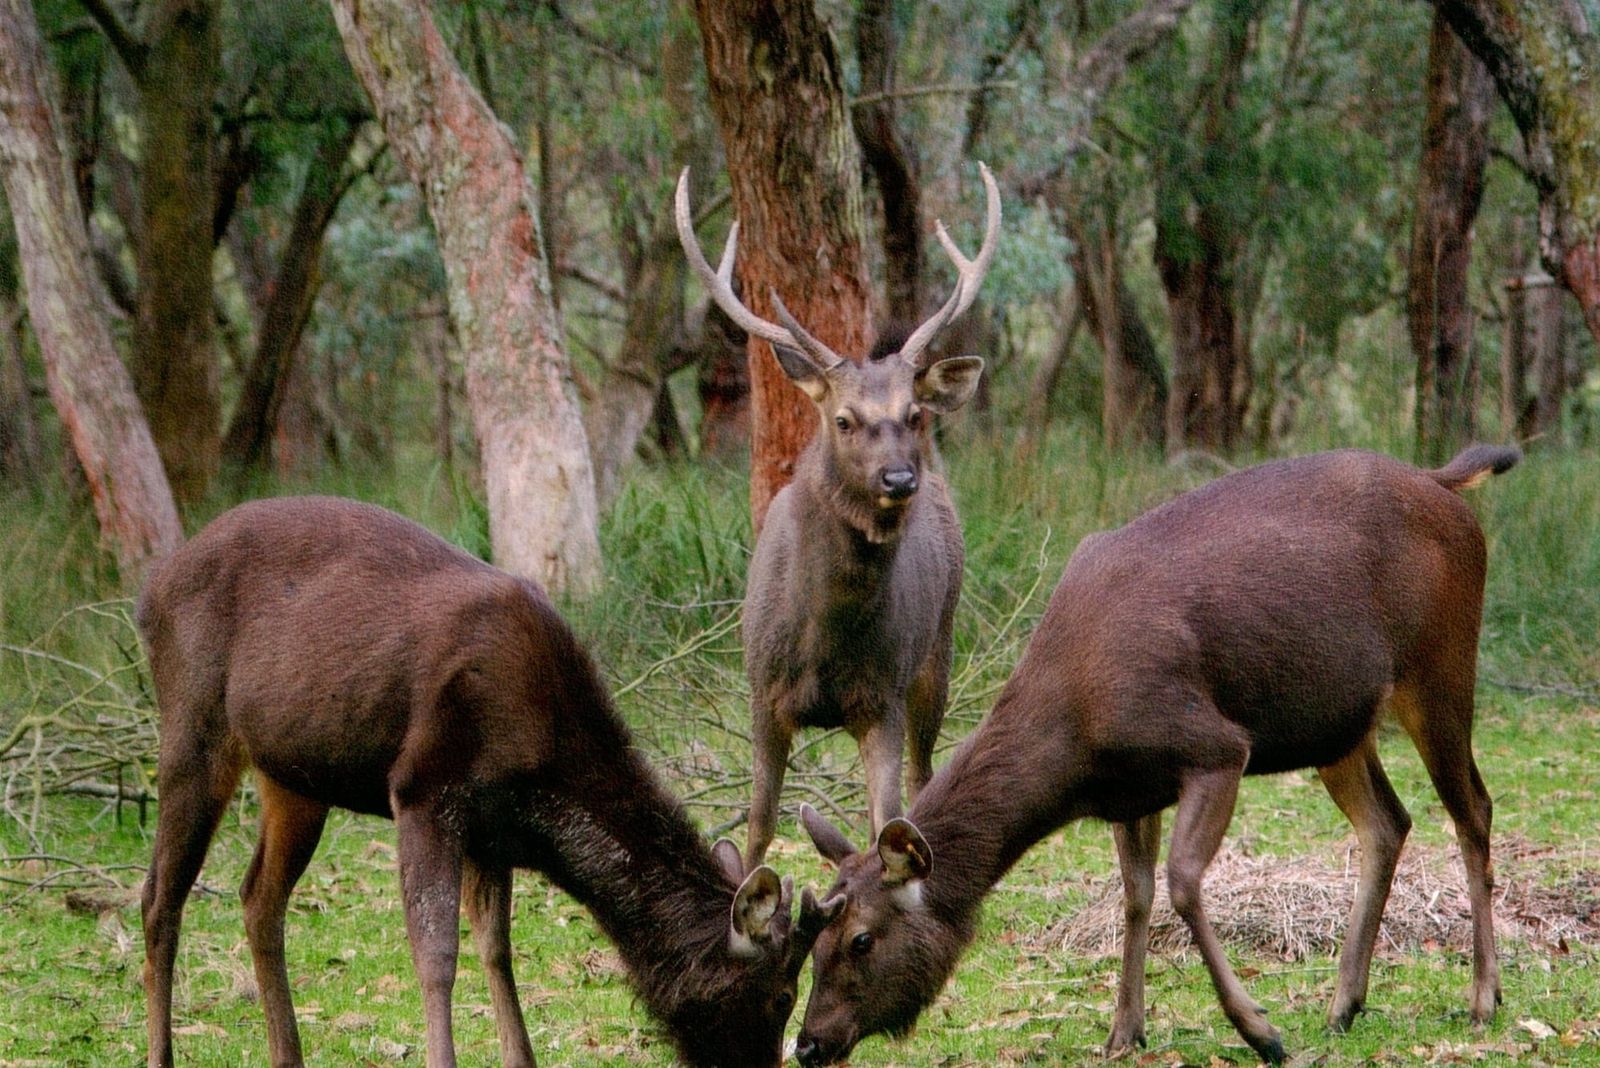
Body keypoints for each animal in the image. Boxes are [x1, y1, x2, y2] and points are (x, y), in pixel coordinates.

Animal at [135, 496, 843, 1068]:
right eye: (781, 993)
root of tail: (149, 592)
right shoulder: (423, 787)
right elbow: (437, 952)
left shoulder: (492, 828)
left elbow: (497, 949)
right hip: (192, 725)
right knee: (159, 898)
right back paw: (162, 1053)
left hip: (295, 777)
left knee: (258, 896)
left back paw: (287, 1053)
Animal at [674, 163, 1001, 873]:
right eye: (844, 419)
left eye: (913, 413)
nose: (900, 478)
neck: (825, 638)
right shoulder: (762, 690)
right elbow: (759, 827)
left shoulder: (884, 695)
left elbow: (887, 821)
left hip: (938, 650)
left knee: (923, 776)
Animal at [792, 444, 1520, 1066]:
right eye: (814, 938)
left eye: (860, 938)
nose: (808, 1043)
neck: (1075, 739)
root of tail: (1444, 482)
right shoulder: (1130, 790)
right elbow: (1136, 896)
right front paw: (1124, 1030)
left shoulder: (1216, 747)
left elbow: (1183, 880)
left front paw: (1258, 1029)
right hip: (1338, 725)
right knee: (1388, 821)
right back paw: (1345, 1003)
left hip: (1441, 664)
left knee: (1473, 809)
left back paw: (1483, 998)